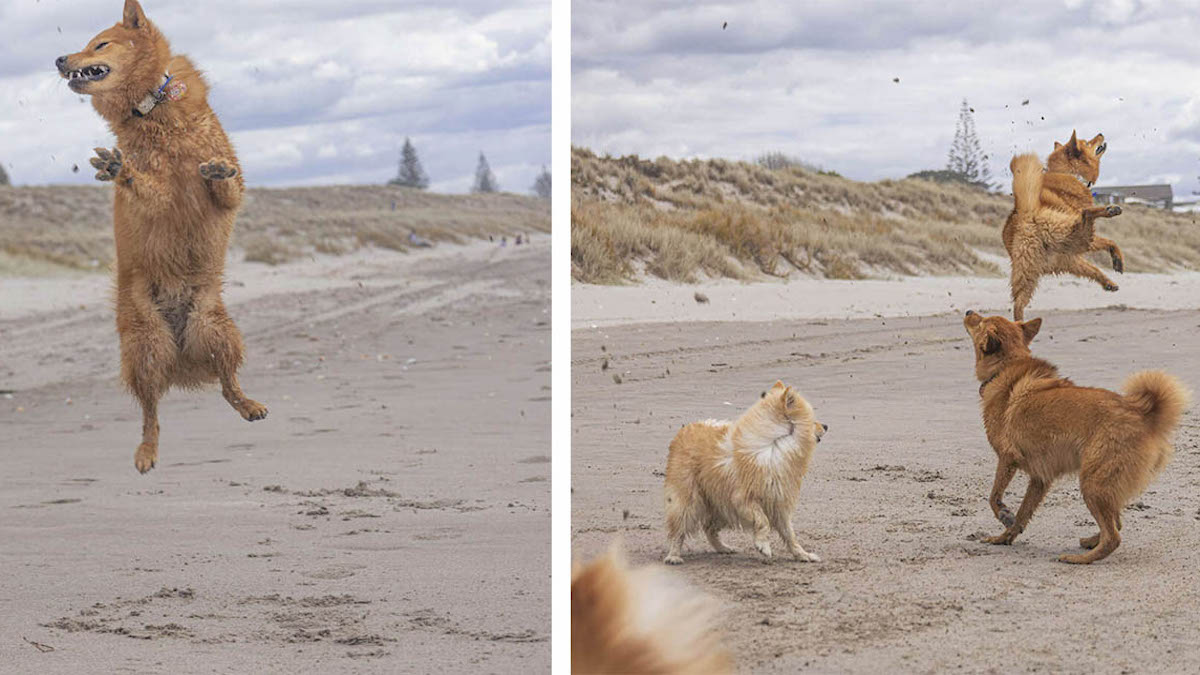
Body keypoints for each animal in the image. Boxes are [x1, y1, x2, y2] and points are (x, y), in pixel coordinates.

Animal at [56, 1, 267, 473]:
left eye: (99, 44)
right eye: (86, 44)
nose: (59, 59)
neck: (153, 108)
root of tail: (182, 356)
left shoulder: (227, 195)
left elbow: (227, 183)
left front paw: (216, 171)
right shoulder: (161, 202)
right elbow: (148, 187)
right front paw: (120, 170)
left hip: (215, 329)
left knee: (226, 383)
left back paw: (249, 405)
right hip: (147, 346)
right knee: (150, 412)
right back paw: (146, 452)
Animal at [662, 379, 830, 562]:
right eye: (813, 420)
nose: (826, 426)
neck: (774, 444)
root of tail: (684, 430)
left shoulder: (779, 502)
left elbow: (789, 533)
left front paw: (802, 554)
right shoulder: (743, 499)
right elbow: (763, 521)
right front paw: (763, 546)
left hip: (720, 505)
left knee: (709, 528)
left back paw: (723, 548)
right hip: (689, 500)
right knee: (679, 529)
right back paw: (673, 556)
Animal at [960, 309, 1185, 562]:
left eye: (981, 322)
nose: (968, 311)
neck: (1006, 366)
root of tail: (1143, 414)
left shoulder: (1007, 458)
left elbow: (993, 497)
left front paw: (1004, 515)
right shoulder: (1040, 479)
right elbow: (1023, 513)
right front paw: (1004, 537)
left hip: (1092, 483)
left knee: (1113, 537)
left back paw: (1079, 559)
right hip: (1103, 484)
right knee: (1116, 523)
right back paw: (1091, 542)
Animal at [1003, 132, 1123, 321]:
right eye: (1087, 143)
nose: (1101, 134)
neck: (1069, 173)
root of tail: (1026, 211)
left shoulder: (1078, 250)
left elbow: (1107, 247)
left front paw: (1116, 263)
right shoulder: (1083, 242)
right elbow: (1108, 240)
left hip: (1042, 266)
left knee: (1018, 304)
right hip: (1070, 234)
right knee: (1086, 214)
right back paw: (1109, 210)